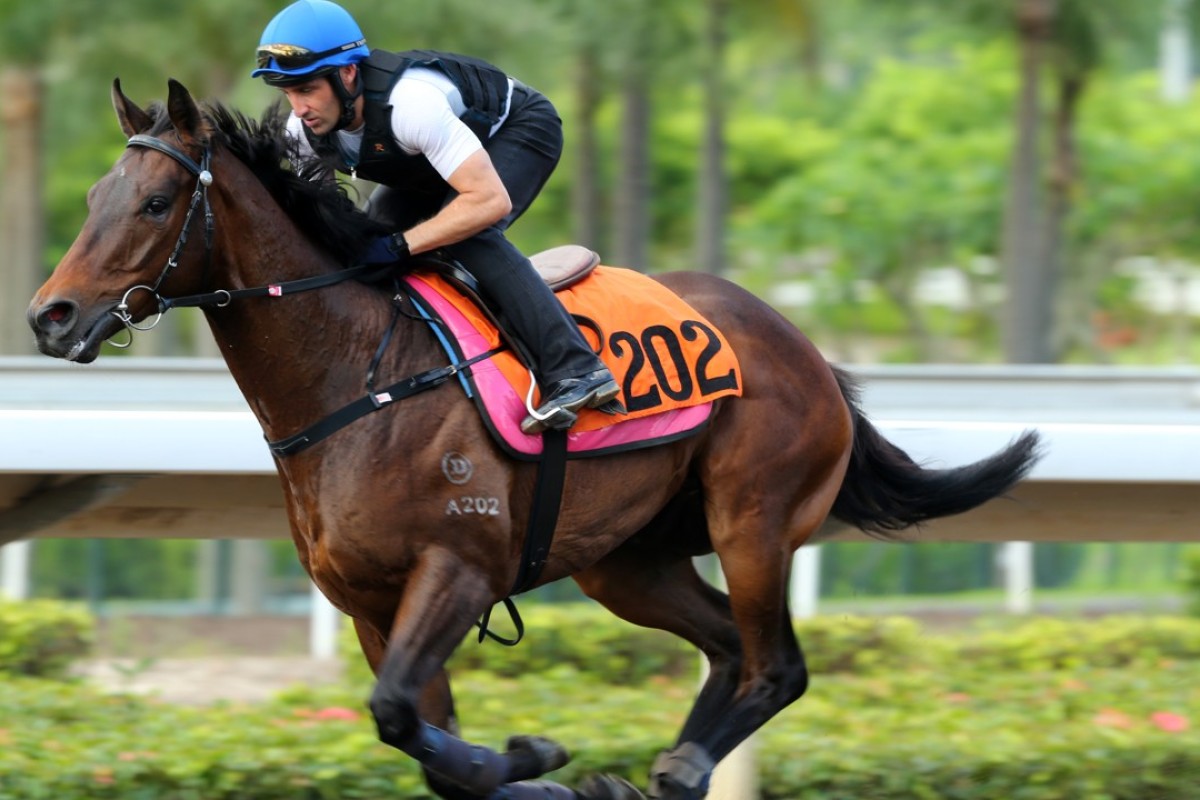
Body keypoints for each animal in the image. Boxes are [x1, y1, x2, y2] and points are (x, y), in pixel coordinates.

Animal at [25, 79, 1041, 800]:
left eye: (157, 203)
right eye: (95, 194)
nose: (49, 316)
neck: (358, 374)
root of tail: (805, 347)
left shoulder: (459, 568)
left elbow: (400, 718)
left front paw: (538, 754)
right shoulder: (369, 606)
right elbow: (420, 740)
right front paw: (541, 768)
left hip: (754, 518)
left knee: (775, 666)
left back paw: (677, 767)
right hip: (629, 560)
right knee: (725, 646)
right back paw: (652, 773)